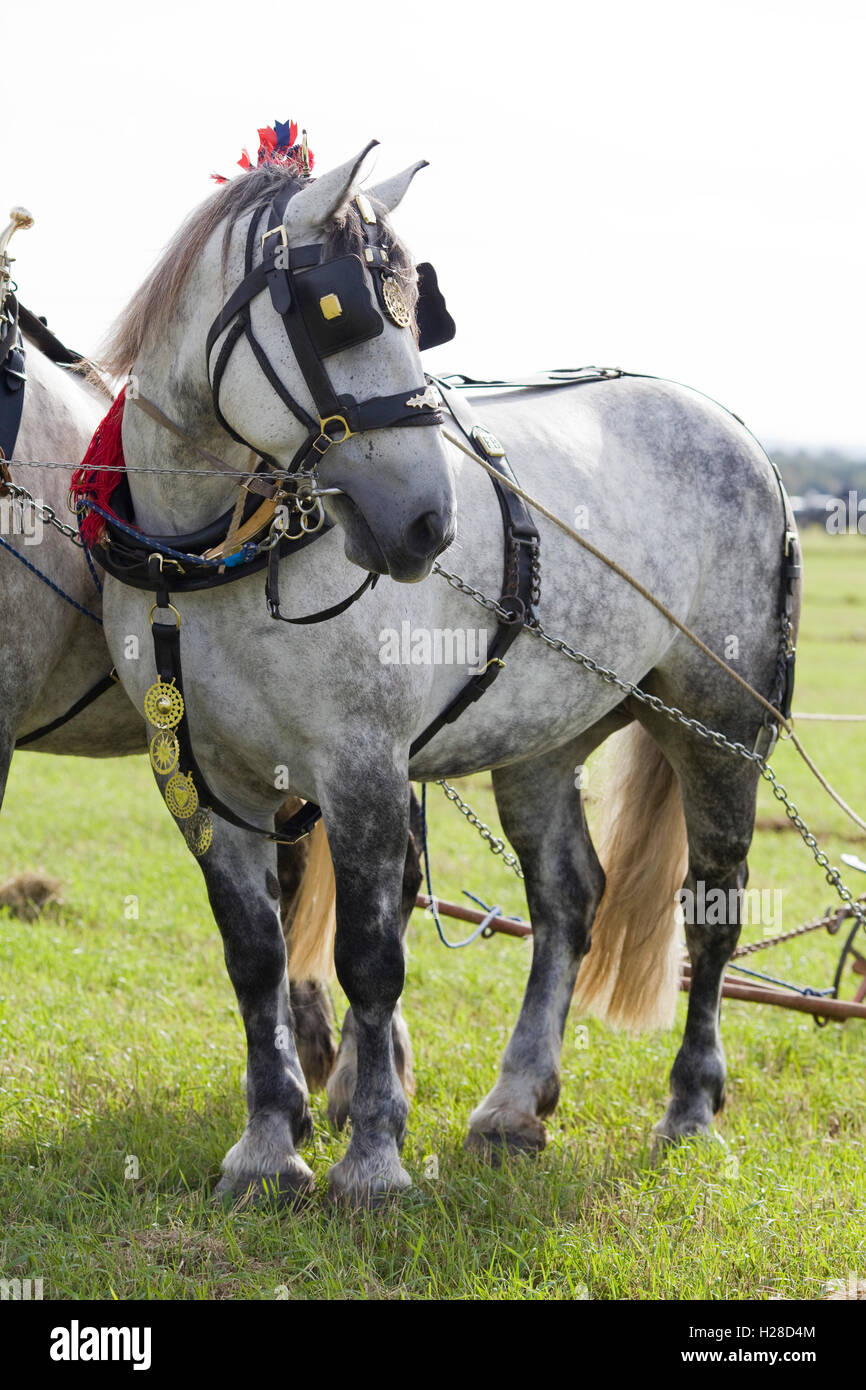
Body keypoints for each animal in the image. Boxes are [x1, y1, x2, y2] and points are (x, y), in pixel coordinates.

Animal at [90, 141, 800, 1205]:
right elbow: (255, 958)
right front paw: (268, 1147)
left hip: (718, 725)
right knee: (568, 900)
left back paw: (688, 1107)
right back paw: (514, 1104)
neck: (214, 560)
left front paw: (373, 1159)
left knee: (712, 910)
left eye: (412, 312)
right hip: (542, 741)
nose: (430, 522)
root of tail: (737, 428)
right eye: (336, 313)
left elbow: (370, 960)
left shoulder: (362, 767)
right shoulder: (202, 777)